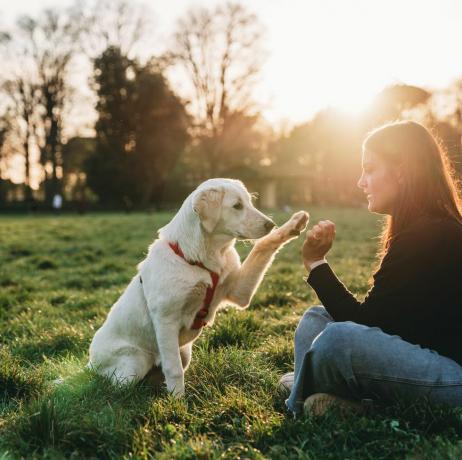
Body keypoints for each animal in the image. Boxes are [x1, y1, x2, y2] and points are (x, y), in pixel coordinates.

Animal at [88, 177, 308, 396]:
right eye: (237, 206)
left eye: (250, 202)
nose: (270, 224)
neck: (203, 258)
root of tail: (89, 362)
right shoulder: (166, 320)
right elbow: (174, 369)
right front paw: (177, 401)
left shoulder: (239, 292)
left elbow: (262, 245)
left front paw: (293, 225)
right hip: (134, 363)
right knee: (116, 386)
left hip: (184, 353)